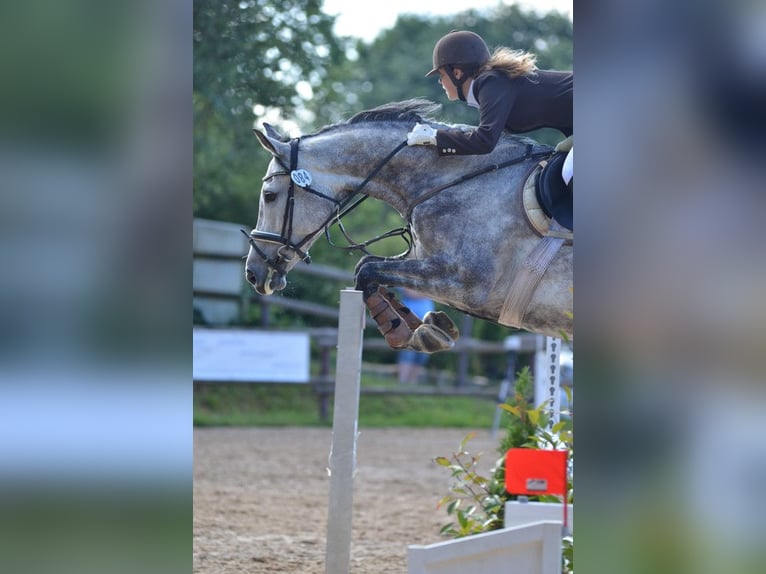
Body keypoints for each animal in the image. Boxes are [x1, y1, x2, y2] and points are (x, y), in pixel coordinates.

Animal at [243, 99, 572, 354]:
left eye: (269, 196)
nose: (253, 273)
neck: (451, 181)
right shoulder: (426, 263)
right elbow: (367, 268)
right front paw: (426, 328)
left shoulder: (467, 283)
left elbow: (367, 271)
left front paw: (418, 334)